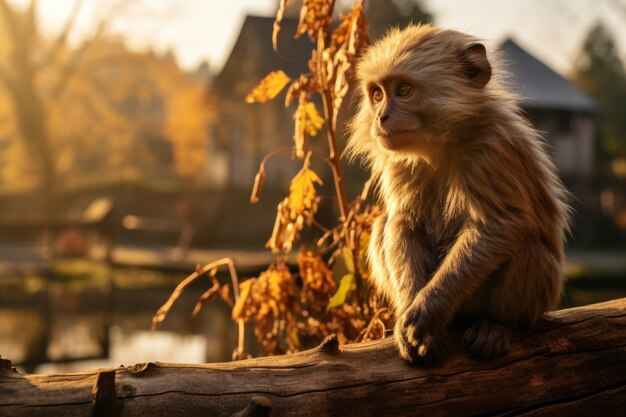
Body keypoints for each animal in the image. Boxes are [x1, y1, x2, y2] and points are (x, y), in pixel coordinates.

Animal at [346, 25, 572, 364]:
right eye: (377, 95)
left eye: (403, 90)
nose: (380, 117)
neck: (440, 145)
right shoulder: (398, 162)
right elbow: (403, 225)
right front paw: (411, 308)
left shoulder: (493, 148)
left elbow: (497, 226)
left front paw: (428, 310)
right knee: (384, 224)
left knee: (526, 244)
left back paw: (496, 324)